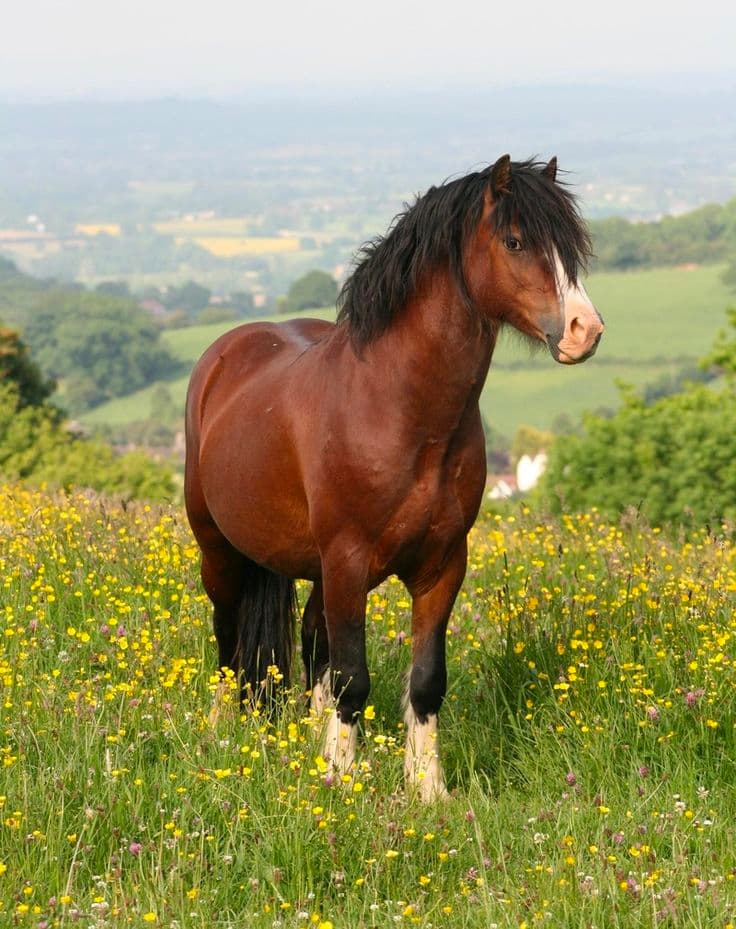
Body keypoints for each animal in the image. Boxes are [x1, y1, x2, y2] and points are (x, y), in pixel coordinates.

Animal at [184, 152, 604, 796]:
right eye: (514, 241)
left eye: (570, 247)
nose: (586, 330)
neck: (401, 411)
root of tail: (225, 354)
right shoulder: (348, 560)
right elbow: (354, 678)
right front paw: (340, 780)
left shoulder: (442, 566)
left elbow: (425, 679)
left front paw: (426, 789)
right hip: (223, 553)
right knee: (231, 643)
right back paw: (221, 734)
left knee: (311, 641)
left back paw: (307, 739)